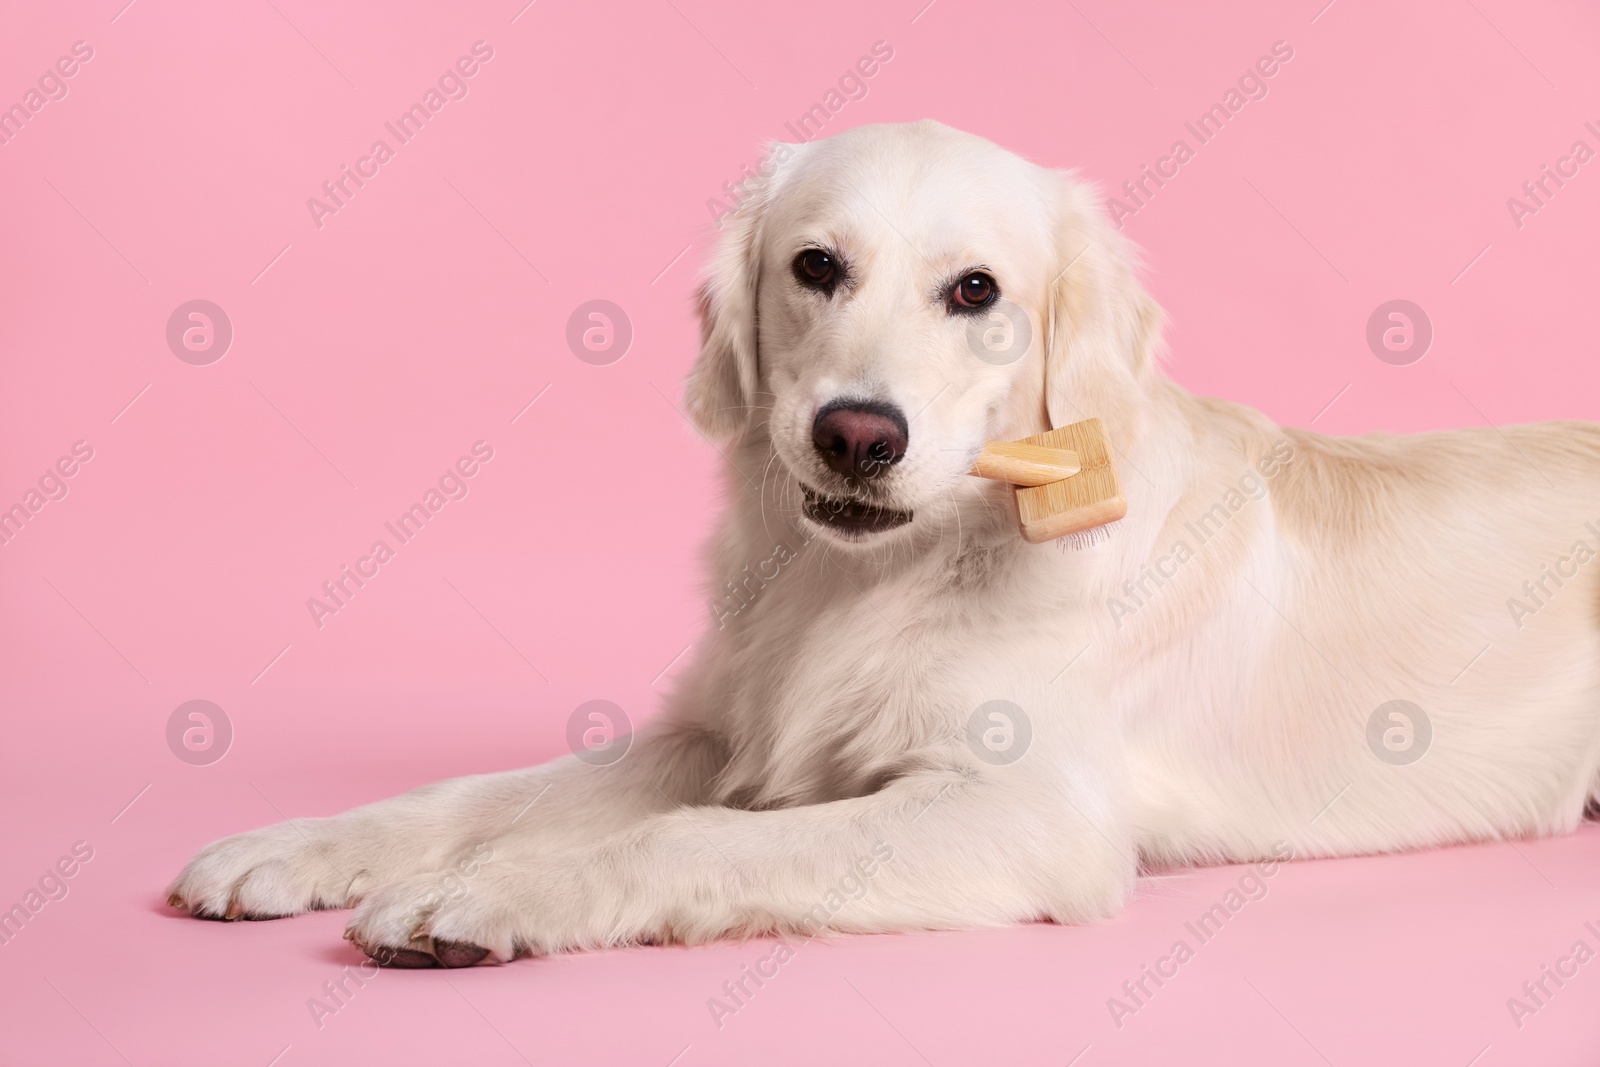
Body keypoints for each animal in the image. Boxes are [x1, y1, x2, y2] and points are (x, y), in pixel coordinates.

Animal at [168, 119, 1600, 966]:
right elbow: (479, 793)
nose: (857, 434)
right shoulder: (712, 730)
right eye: (815, 266)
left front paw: (499, 891)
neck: (862, 579)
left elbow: (693, 840)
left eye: (975, 291)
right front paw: (295, 845)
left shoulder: (1026, 810)